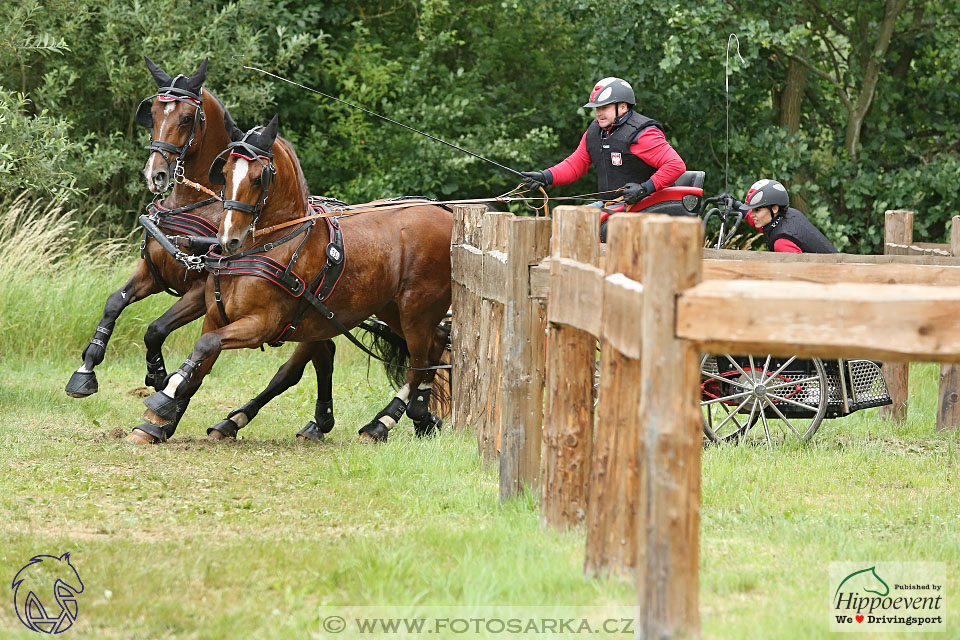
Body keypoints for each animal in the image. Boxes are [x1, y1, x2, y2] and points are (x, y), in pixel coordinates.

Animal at [127, 116, 454, 444]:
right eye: (226, 172)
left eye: (258, 178)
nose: (228, 238)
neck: (273, 243)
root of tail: (446, 213)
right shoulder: (216, 316)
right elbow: (200, 362)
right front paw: (159, 422)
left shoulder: (261, 325)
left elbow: (205, 346)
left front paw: (163, 400)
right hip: (390, 309)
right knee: (435, 346)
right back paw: (419, 415)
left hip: (416, 310)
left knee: (419, 363)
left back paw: (382, 422)